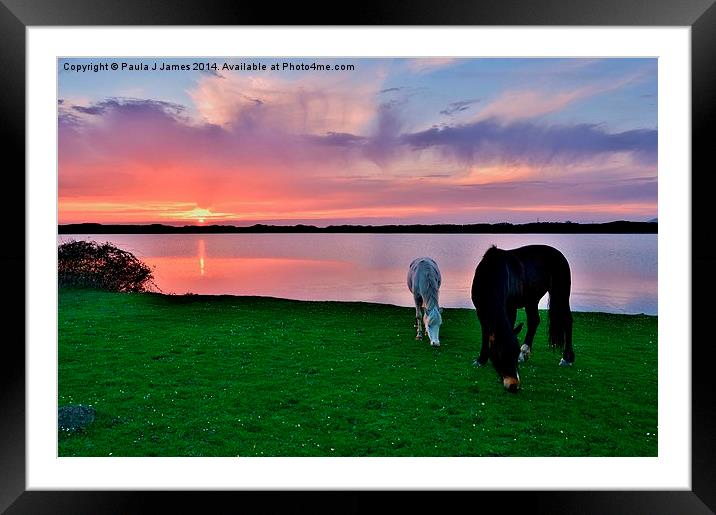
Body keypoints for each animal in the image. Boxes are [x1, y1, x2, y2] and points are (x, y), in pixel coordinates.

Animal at [470, 244, 576, 394]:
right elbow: (486, 334)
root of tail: (559, 254)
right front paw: (481, 360)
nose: (514, 386)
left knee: (567, 320)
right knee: (534, 321)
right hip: (532, 299)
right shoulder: (481, 312)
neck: (491, 273)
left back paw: (567, 358)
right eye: (500, 354)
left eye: (514, 354)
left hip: (560, 293)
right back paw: (525, 352)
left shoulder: (510, 307)